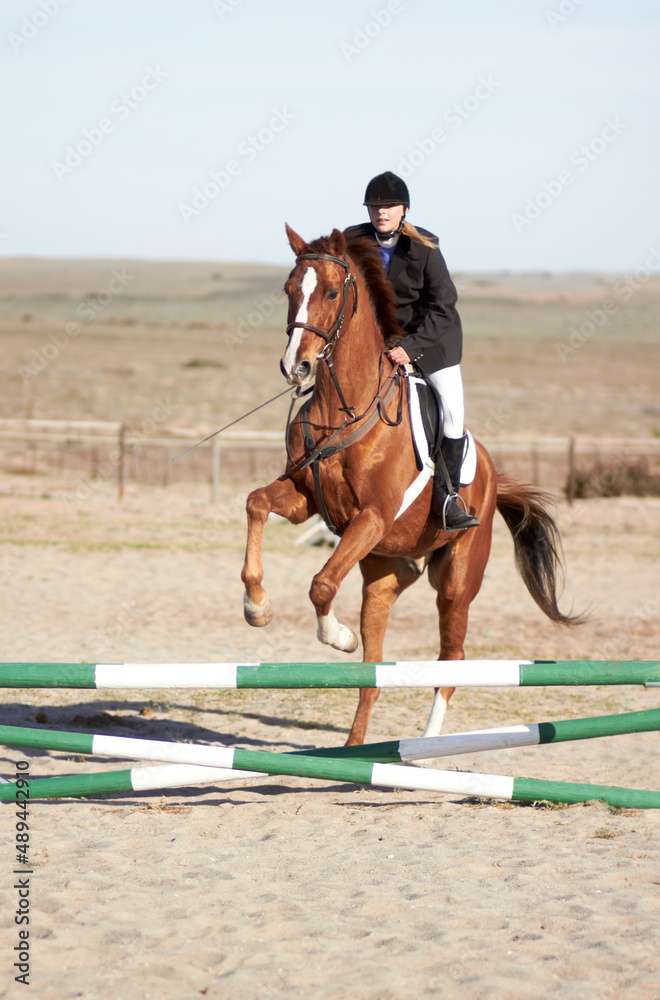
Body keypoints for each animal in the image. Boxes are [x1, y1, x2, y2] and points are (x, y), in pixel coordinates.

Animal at [241, 225, 576, 744]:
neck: (344, 407)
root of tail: (492, 476)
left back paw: (426, 743)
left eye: (332, 293)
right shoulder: (304, 500)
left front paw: (337, 636)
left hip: (456, 579)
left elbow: (321, 583)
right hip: (382, 571)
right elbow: (257, 503)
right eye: (289, 289)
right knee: (374, 671)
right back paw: (355, 750)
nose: (296, 368)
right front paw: (256, 606)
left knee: (452, 658)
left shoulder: (373, 518)